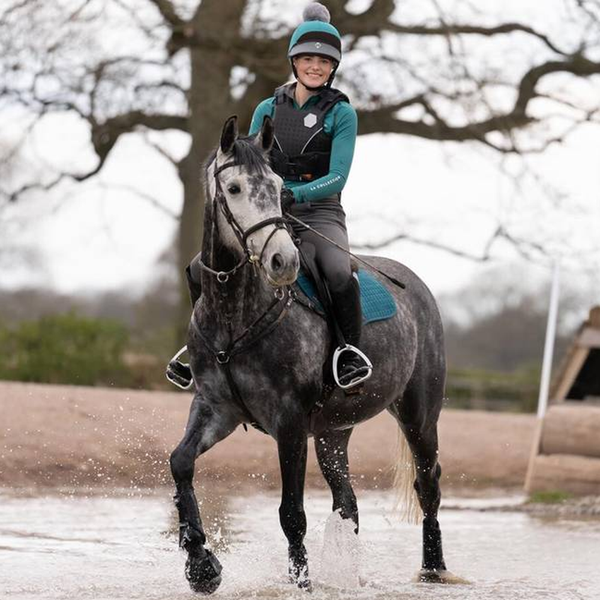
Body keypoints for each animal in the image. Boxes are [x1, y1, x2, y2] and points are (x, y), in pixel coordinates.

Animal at [169, 115, 464, 592]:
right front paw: (200, 563)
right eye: (233, 188)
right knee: (348, 502)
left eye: (276, 186)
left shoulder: (289, 423)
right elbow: (180, 463)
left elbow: (292, 512)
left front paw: (300, 583)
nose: (283, 261)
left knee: (428, 485)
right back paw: (349, 575)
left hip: (419, 416)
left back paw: (433, 570)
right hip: (332, 433)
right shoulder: (217, 408)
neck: (235, 313)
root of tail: (416, 285)